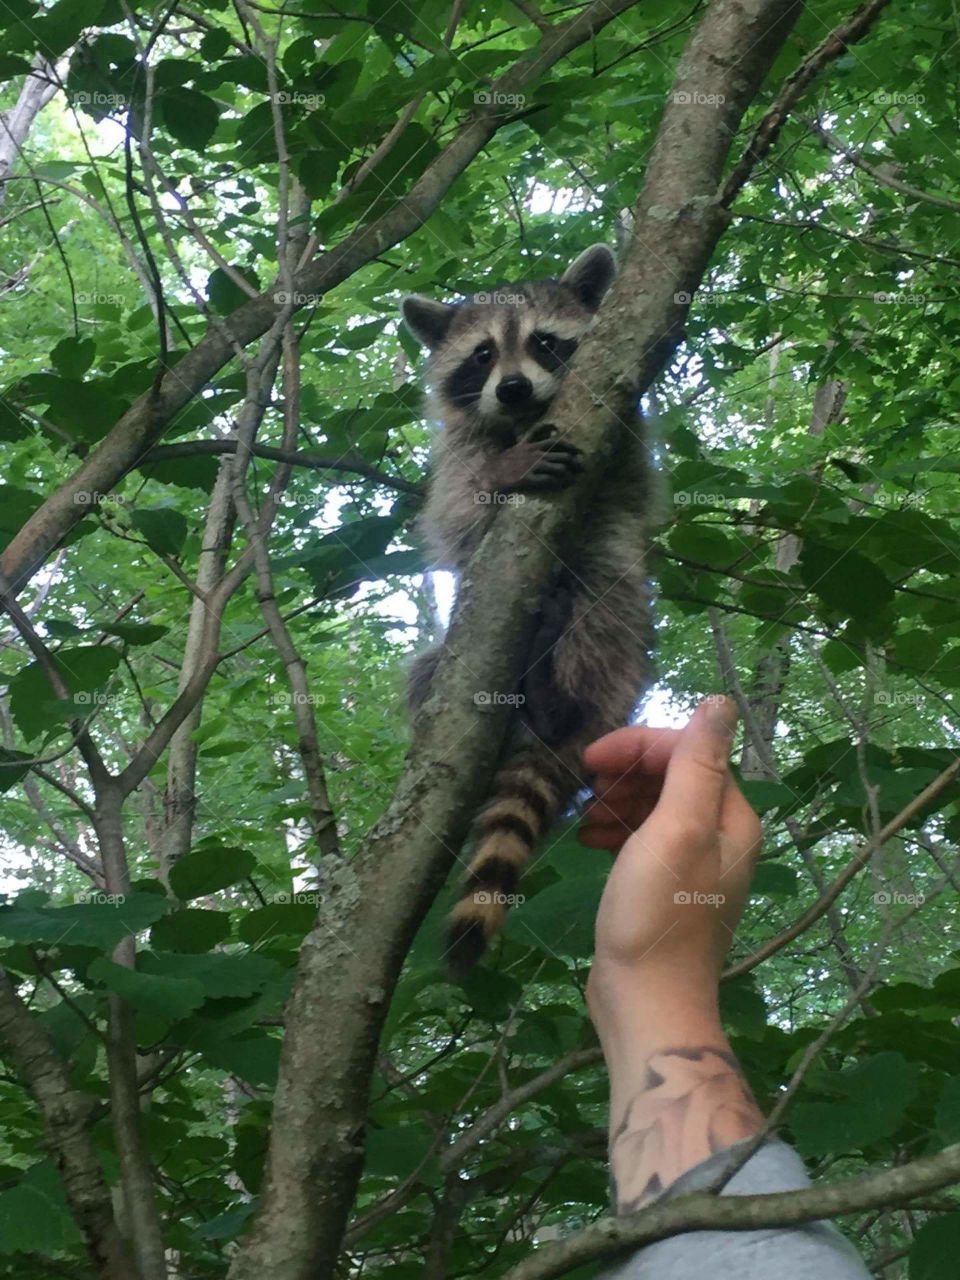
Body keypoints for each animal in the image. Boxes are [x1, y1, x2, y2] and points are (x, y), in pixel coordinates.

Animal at [403, 245, 652, 974]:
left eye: (545, 342)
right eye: (482, 355)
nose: (513, 389)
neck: (516, 423)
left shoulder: (622, 447)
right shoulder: (457, 459)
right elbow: (457, 515)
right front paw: (501, 474)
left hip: (613, 602)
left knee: (600, 616)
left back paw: (556, 695)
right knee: (428, 669)